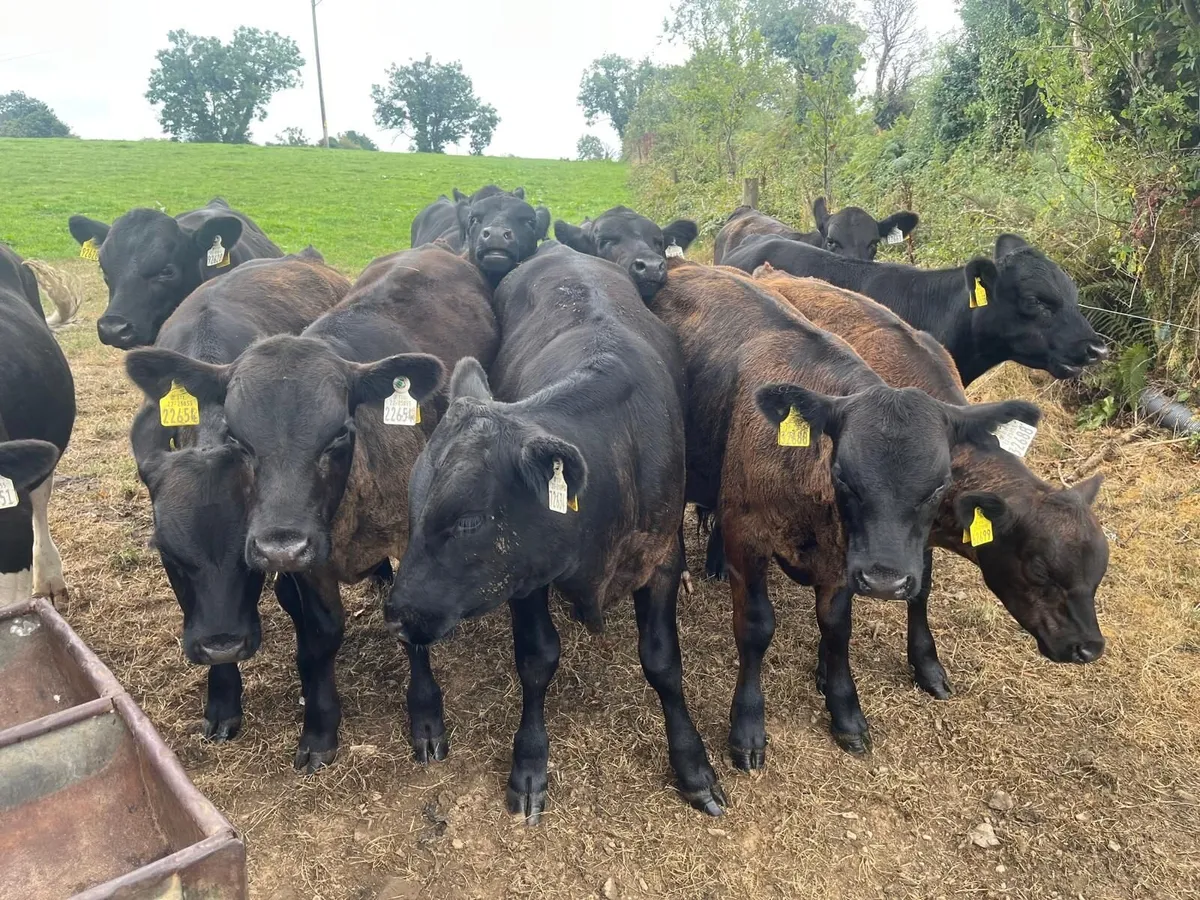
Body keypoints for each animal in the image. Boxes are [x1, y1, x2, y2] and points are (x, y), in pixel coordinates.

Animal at [385, 243, 725, 823]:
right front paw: (529, 764)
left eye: (469, 519)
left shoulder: (659, 556)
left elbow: (663, 662)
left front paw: (694, 765)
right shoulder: (524, 575)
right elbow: (537, 658)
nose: (399, 615)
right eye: (413, 504)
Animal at [646, 258, 1038, 761]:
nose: (886, 580)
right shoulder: (746, 535)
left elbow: (836, 628)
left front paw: (846, 712)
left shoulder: (842, 558)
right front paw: (747, 727)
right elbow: (755, 627)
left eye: (939, 486)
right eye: (844, 475)